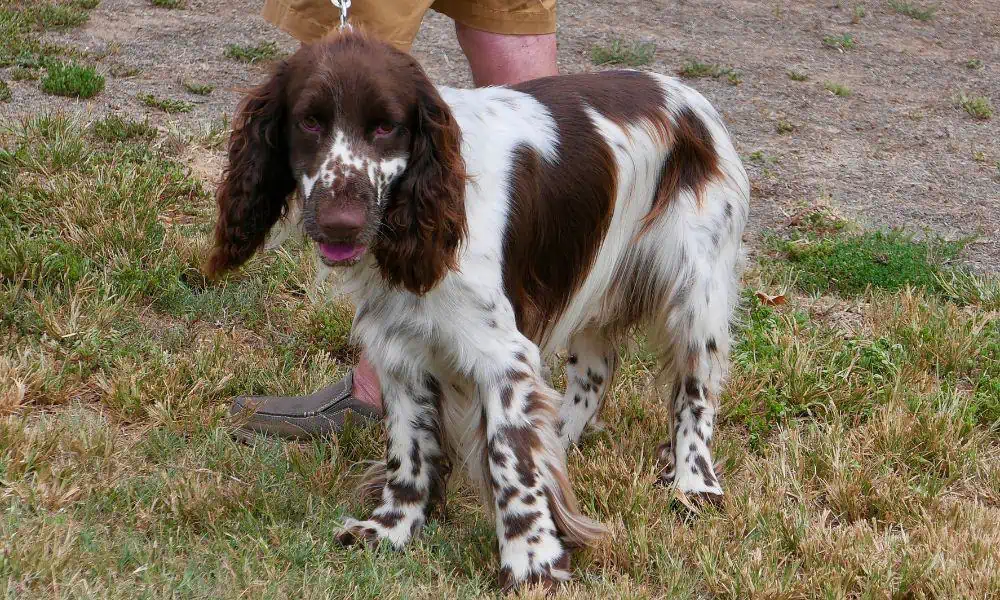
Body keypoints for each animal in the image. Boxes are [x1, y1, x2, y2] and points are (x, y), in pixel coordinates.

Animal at [205, 31, 752, 592]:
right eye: (309, 121)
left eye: (386, 126)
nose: (341, 223)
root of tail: (686, 94)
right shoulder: (400, 347)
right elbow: (409, 449)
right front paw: (391, 530)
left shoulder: (502, 356)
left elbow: (510, 459)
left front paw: (532, 561)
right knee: (594, 374)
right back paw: (560, 442)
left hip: (696, 294)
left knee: (694, 395)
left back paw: (694, 483)